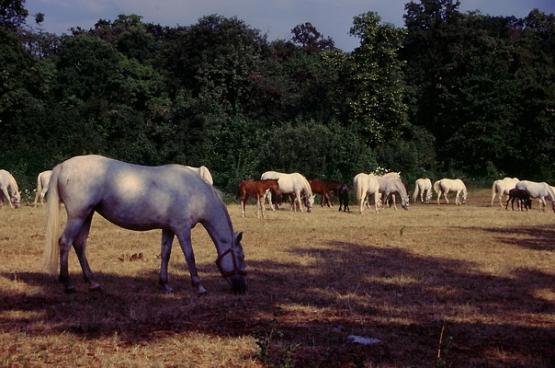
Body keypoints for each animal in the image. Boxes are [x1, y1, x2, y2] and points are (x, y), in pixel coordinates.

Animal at [44, 155, 249, 296]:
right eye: (240, 256)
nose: (242, 288)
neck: (196, 193)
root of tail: (62, 167)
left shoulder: (169, 229)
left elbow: (165, 254)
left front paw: (165, 284)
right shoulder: (182, 229)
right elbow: (190, 256)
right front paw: (199, 286)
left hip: (87, 215)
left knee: (79, 244)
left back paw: (93, 282)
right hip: (78, 216)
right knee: (65, 242)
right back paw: (68, 284)